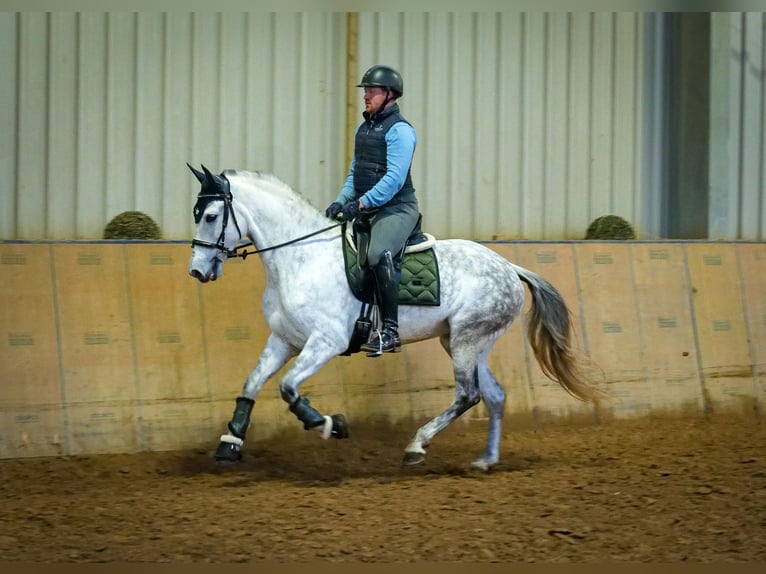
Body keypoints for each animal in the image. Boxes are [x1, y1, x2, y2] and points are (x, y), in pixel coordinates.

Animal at [184, 164, 600, 470]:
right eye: (197, 214)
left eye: (211, 215)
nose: (197, 271)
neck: (300, 257)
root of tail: (510, 268)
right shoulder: (284, 340)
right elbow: (252, 383)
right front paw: (230, 442)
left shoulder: (326, 343)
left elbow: (287, 387)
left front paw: (330, 425)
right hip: (466, 342)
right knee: (494, 396)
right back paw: (485, 460)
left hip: (466, 340)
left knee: (468, 395)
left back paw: (416, 446)